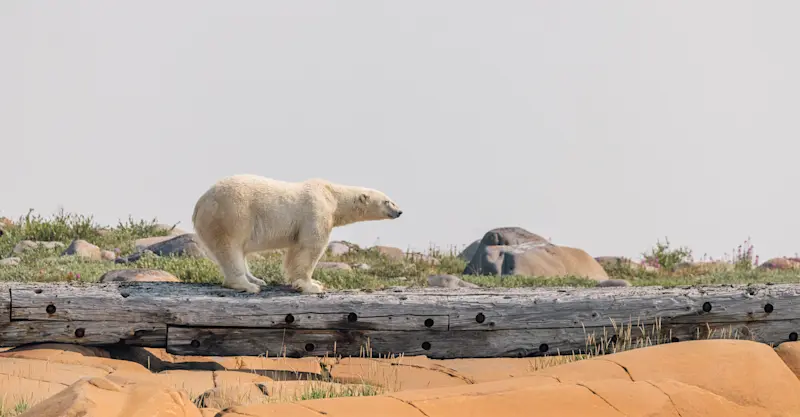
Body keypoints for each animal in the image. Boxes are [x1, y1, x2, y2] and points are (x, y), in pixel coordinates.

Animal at [191, 174, 403, 294]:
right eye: (388, 201)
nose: (399, 211)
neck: (332, 196)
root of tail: (200, 203)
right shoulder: (315, 211)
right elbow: (310, 247)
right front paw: (311, 286)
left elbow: (295, 250)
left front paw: (314, 281)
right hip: (232, 215)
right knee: (230, 249)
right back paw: (248, 285)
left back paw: (256, 279)